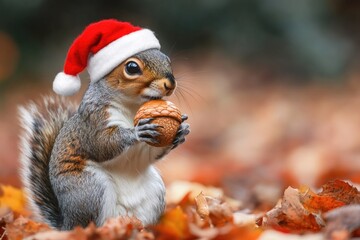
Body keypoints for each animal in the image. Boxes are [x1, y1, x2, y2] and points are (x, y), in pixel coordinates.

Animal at [18, 19, 190, 231]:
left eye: (167, 59)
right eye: (132, 67)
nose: (170, 83)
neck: (132, 107)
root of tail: (67, 224)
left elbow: (151, 153)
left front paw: (181, 132)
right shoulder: (93, 121)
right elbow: (102, 145)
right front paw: (135, 132)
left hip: (154, 191)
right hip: (89, 189)